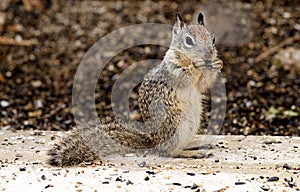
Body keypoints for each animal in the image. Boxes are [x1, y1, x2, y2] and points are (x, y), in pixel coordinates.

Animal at [47, 13, 223, 166]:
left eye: (213, 38)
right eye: (188, 40)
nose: (209, 55)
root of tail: (152, 142)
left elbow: (202, 84)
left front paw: (217, 64)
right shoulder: (172, 70)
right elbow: (186, 75)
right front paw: (197, 65)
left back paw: (196, 142)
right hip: (174, 124)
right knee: (171, 151)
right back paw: (191, 152)